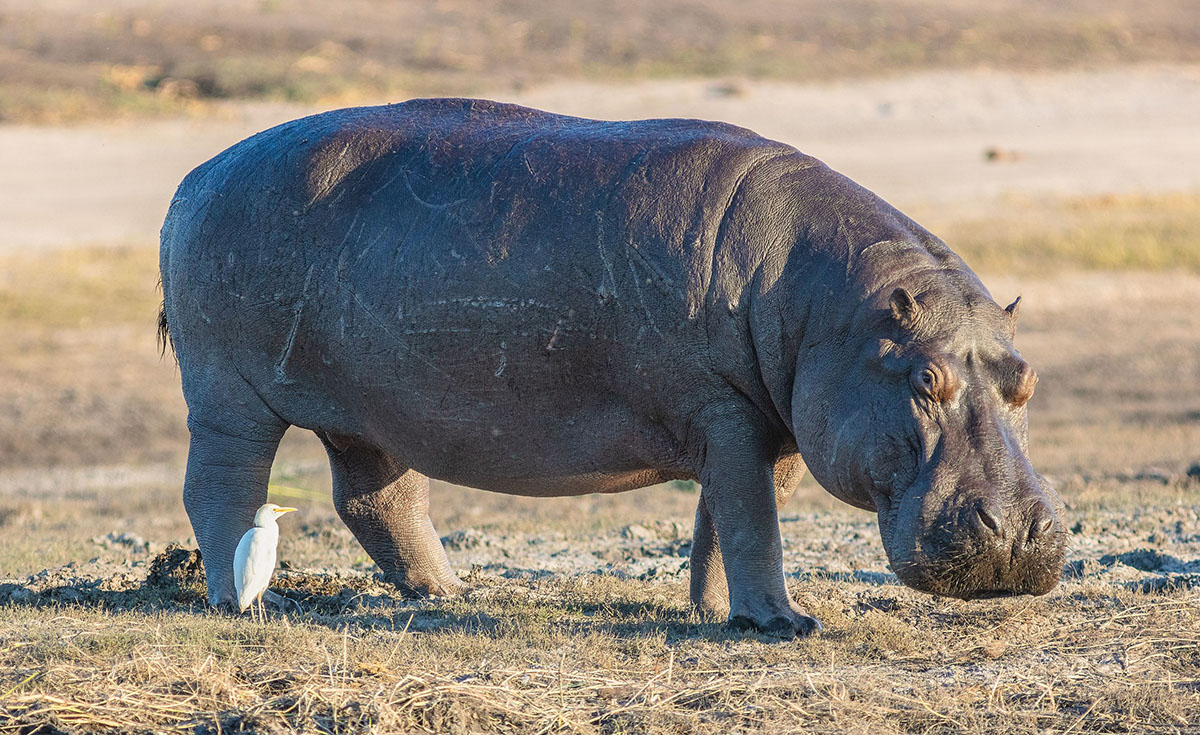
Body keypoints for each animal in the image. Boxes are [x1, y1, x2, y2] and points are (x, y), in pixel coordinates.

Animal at [158, 99, 1066, 636]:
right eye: (925, 381)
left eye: (1025, 379)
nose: (1017, 536)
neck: (834, 309)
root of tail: (194, 177)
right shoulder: (728, 412)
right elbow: (749, 519)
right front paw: (784, 624)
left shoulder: (770, 423)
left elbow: (731, 521)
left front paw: (720, 611)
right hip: (228, 394)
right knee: (220, 487)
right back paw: (241, 600)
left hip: (372, 410)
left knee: (376, 497)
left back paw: (449, 593)